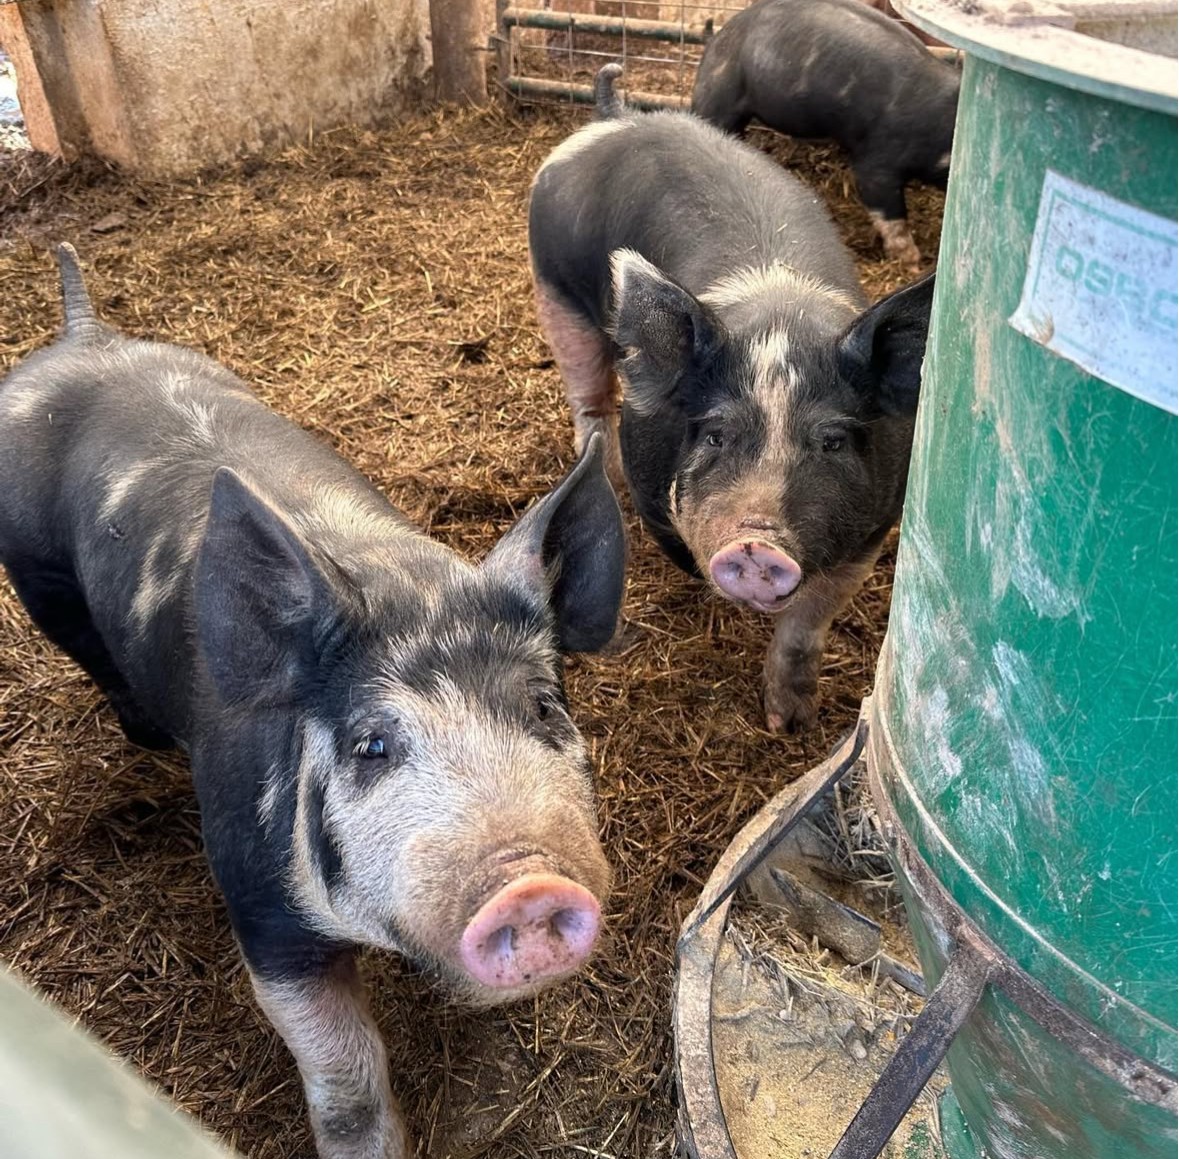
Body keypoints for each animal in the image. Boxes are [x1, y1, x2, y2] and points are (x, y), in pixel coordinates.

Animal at [0, 246, 626, 1159]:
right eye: (372, 744)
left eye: (544, 706)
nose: (530, 884)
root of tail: (80, 334)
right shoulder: (260, 904)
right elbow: (343, 1070)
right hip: (38, 576)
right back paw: (142, 733)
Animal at [529, 67, 934, 732]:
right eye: (717, 434)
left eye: (832, 440)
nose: (755, 543)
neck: (779, 322)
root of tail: (614, 115)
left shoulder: (870, 535)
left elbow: (804, 628)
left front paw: (790, 725)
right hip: (555, 291)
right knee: (588, 394)